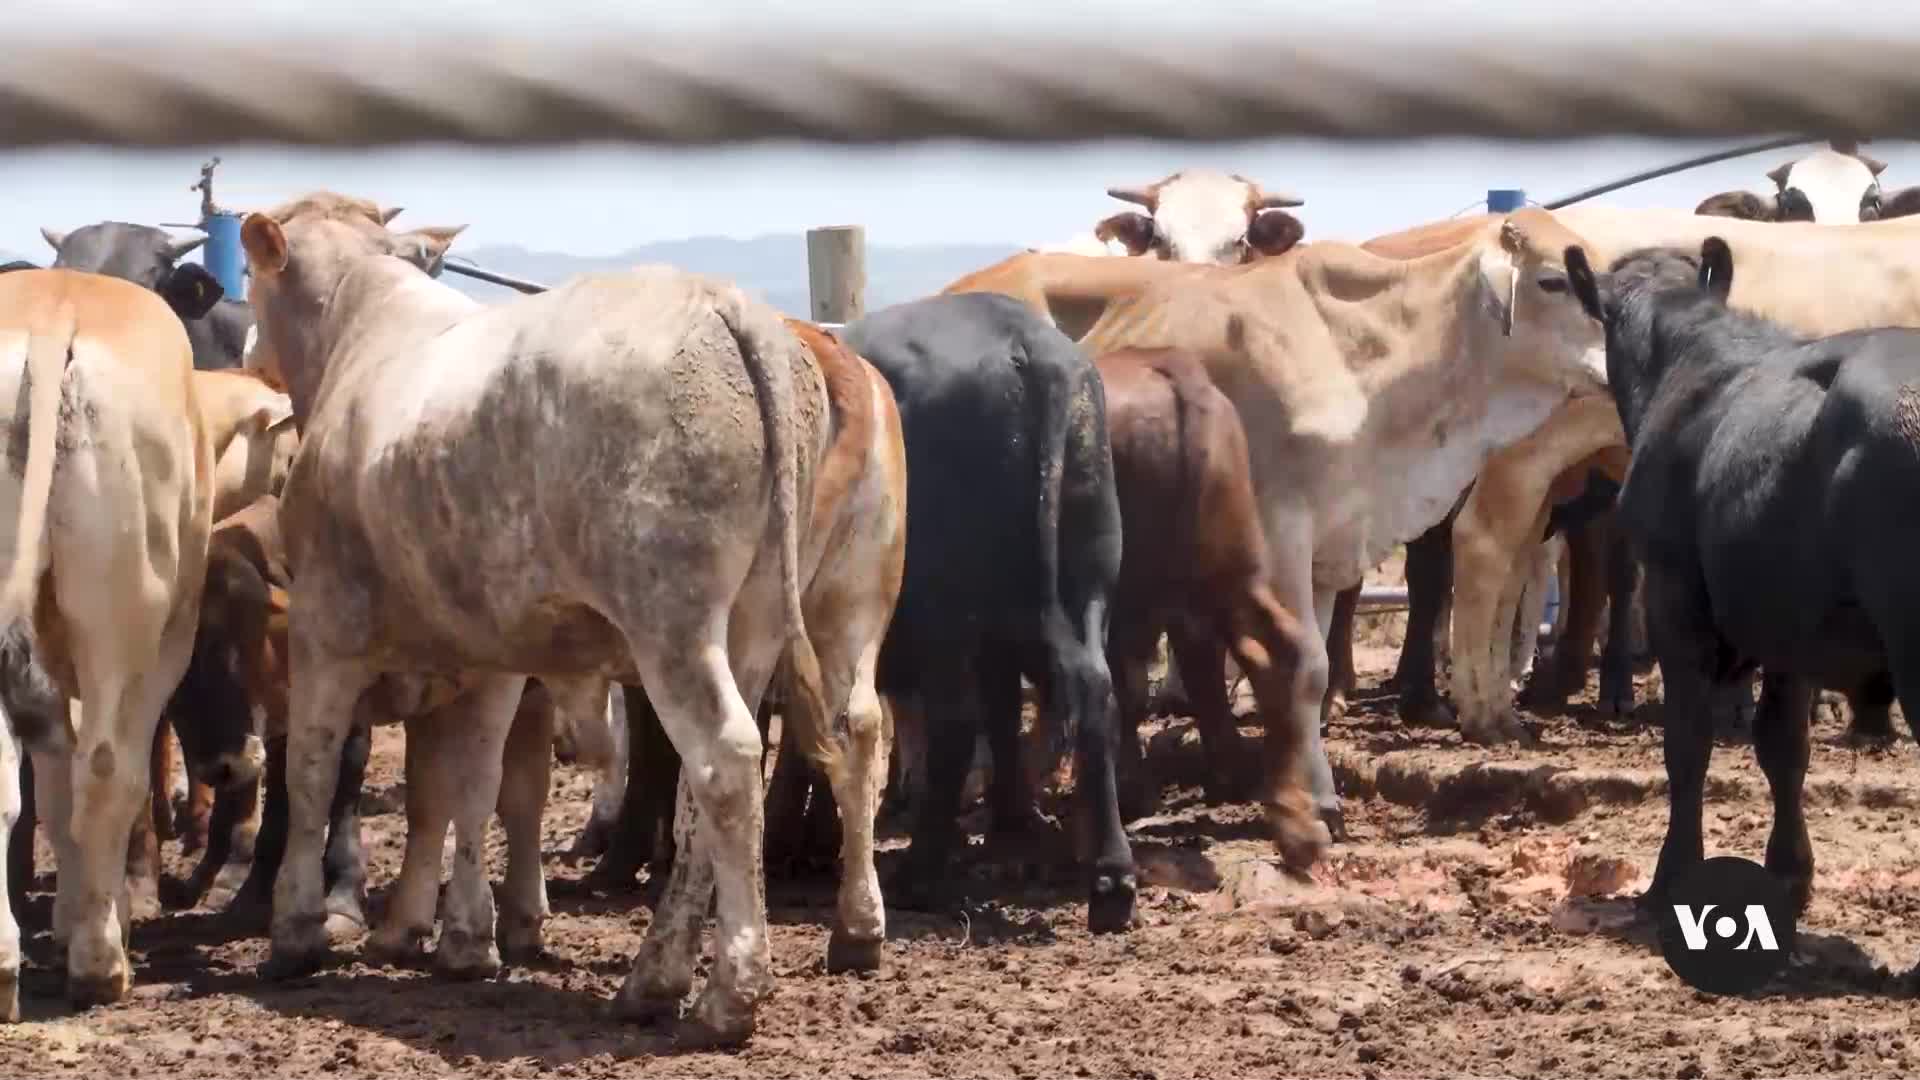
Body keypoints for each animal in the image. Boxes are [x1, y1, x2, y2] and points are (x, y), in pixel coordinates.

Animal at [0, 267, 278, 1006]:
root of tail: (55, 310)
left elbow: (51, 780)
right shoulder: (167, 647)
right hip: (123, 624)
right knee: (106, 771)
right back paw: (102, 966)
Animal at [1559, 233, 1920, 907]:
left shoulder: (1672, 595)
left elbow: (1687, 742)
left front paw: (1671, 878)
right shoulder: (1786, 620)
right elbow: (1783, 744)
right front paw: (1788, 873)